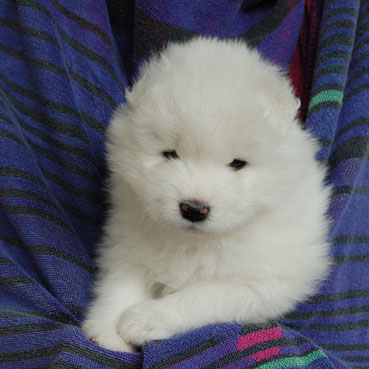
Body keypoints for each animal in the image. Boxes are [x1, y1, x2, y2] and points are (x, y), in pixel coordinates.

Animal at [81, 37, 330, 350]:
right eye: (171, 154)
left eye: (236, 163)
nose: (194, 208)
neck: (196, 242)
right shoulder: (127, 240)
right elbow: (120, 282)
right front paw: (107, 330)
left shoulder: (265, 282)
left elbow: (202, 295)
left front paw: (143, 320)